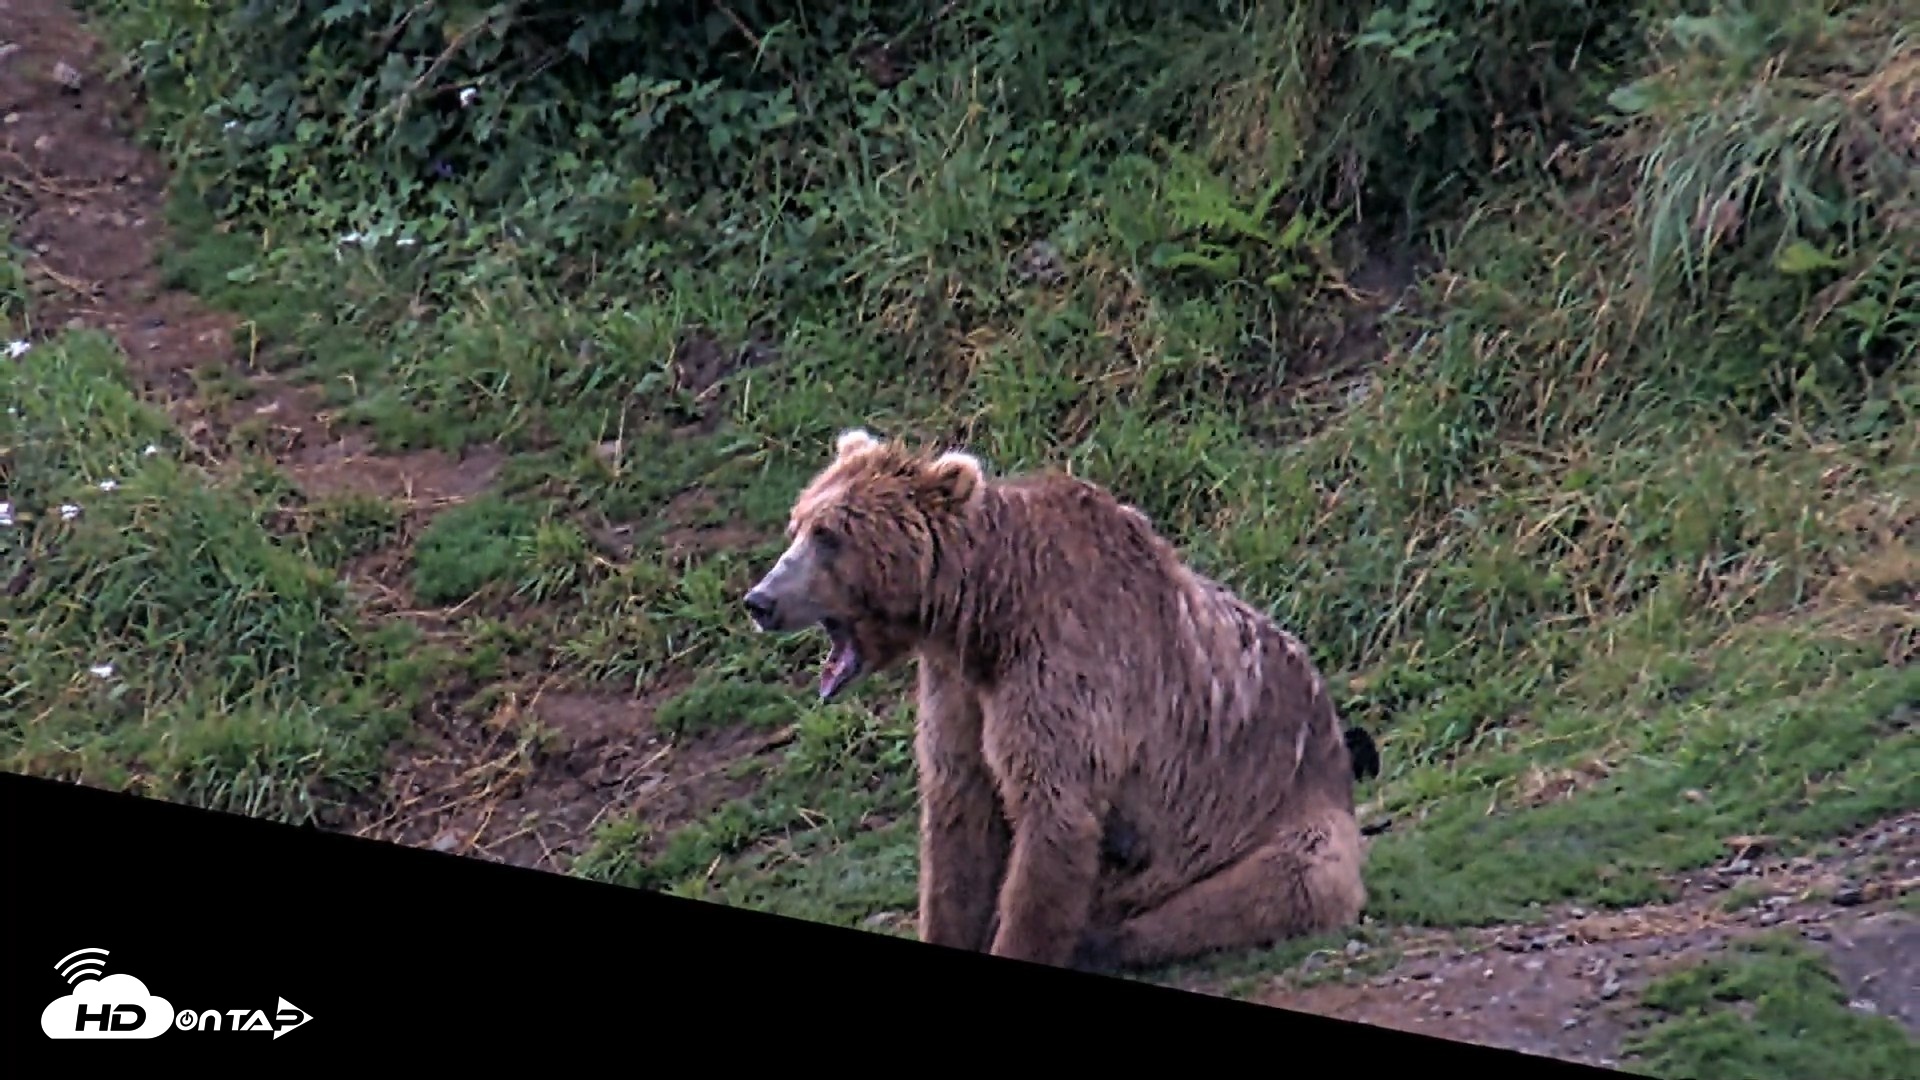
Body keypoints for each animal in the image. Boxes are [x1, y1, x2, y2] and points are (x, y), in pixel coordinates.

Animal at [741, 427, 1380, 973]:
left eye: (830, 534)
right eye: (797, 524)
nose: (760, 600)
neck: (986, 614)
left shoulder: (1066, 667)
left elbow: (1052, 810)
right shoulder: (958, 688)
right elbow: (959, 817)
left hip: (1273, 816)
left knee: (1272, 885)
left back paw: (1108, 941)